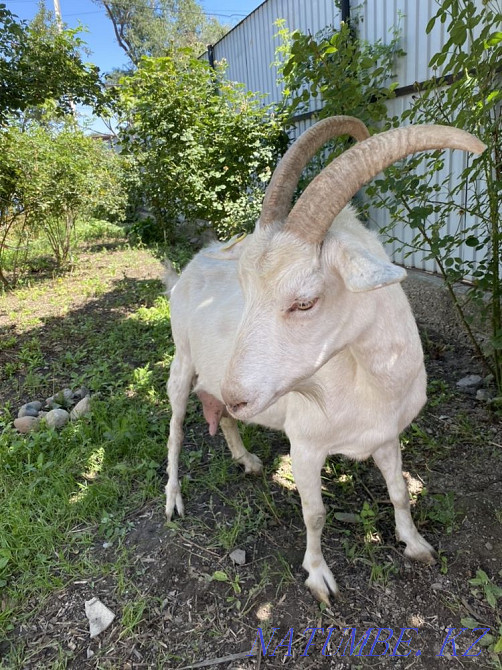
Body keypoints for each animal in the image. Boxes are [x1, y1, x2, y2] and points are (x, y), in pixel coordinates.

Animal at [165, 116, 485, 603]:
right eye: (246, 289)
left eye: (305, 302)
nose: (237, 393)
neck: (369, 387)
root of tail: (191, 266)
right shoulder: (306, 446)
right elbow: (314, 514)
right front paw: (319, 578)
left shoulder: (386, 435)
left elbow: (399, 491)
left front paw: (416, 545)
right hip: (181, 362)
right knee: (176, 430)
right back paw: (172, 500)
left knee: (226, 421)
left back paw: (247, 459)